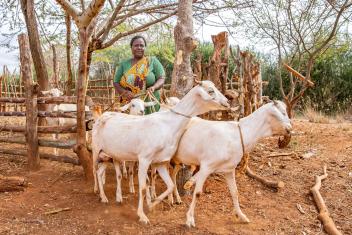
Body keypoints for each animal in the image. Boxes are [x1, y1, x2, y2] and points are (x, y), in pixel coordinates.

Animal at [91, 81, 228, 224]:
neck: (168, 125)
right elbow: (143, 188)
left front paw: (153, 203)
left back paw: (107, 197)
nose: (227, 102)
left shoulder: (161, 162)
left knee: (101, 173)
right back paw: (99, 193)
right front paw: (142, 215)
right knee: (95, 171)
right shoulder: (144, 159)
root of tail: (102, 115)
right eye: (210, 90)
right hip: (96, 150)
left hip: (109, 155)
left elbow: (170, 185)